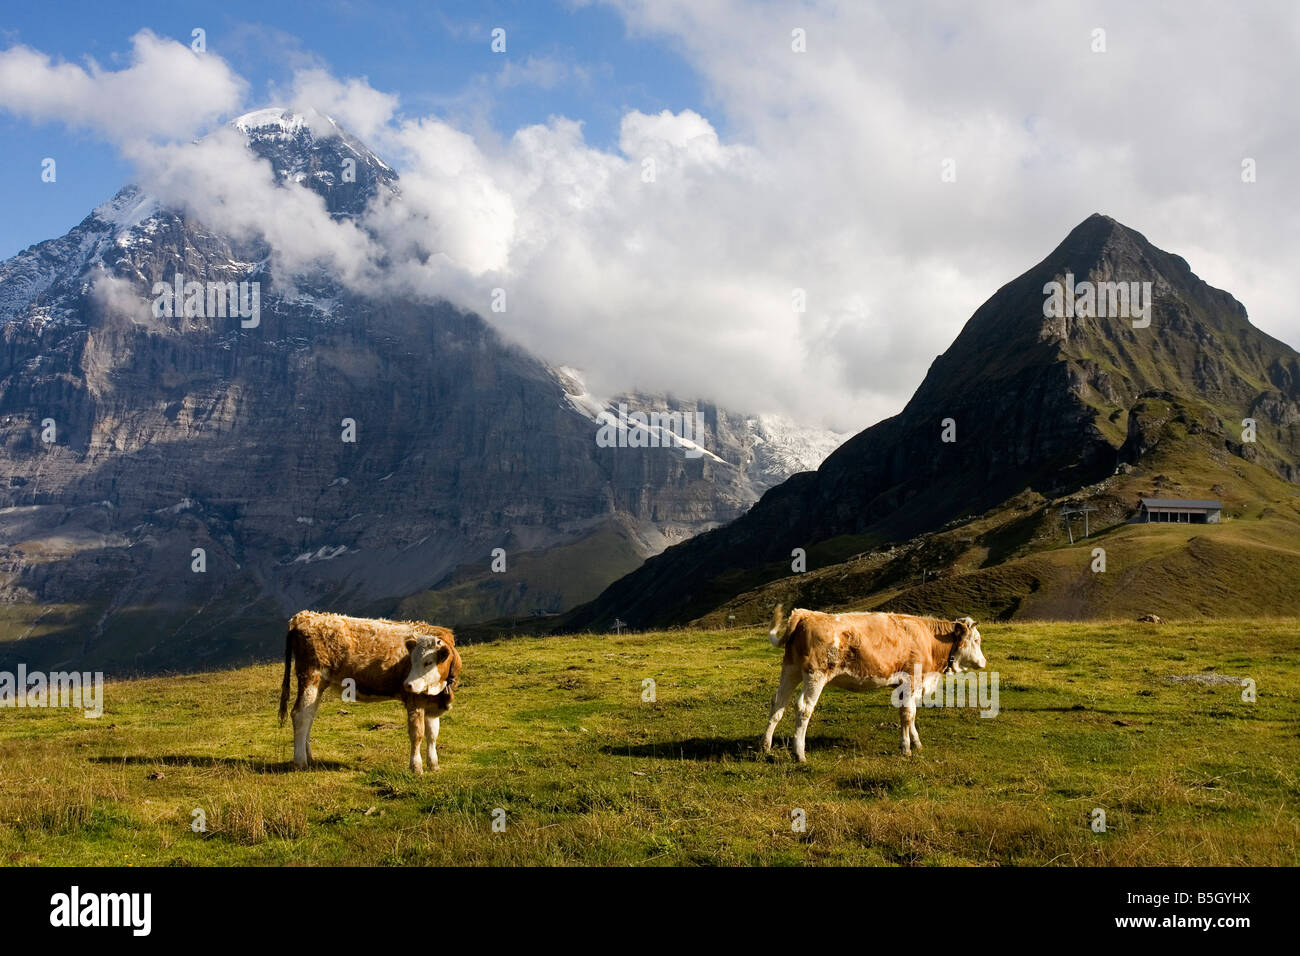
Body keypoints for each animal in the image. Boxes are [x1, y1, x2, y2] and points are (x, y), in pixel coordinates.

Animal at [278, 613, 462, 780]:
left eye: (428, 662)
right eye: (411, 660)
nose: (407, 685)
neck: (439, 689)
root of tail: (305, 616)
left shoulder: (432, 703)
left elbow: (432, 734)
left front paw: (434, 765)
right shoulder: (414, 701)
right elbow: (417, 734)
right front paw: (416, 767)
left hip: (318, 686)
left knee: (309, 716)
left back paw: (309, 758)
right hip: (310, 678)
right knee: (300, 716)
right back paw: (300, 762)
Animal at [759, 608, 982, 759]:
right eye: (976, 640)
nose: (983, 662)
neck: (928, 640)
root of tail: (806, 614)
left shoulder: (906, 687)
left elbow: (909, 715)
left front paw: (915, 742)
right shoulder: (911, 681)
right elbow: (908, 715)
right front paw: (906, 748)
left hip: (791, 670)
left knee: (778, 703)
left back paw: (765, 746)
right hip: (815, 675)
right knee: (803, 708)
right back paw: (799, 753)